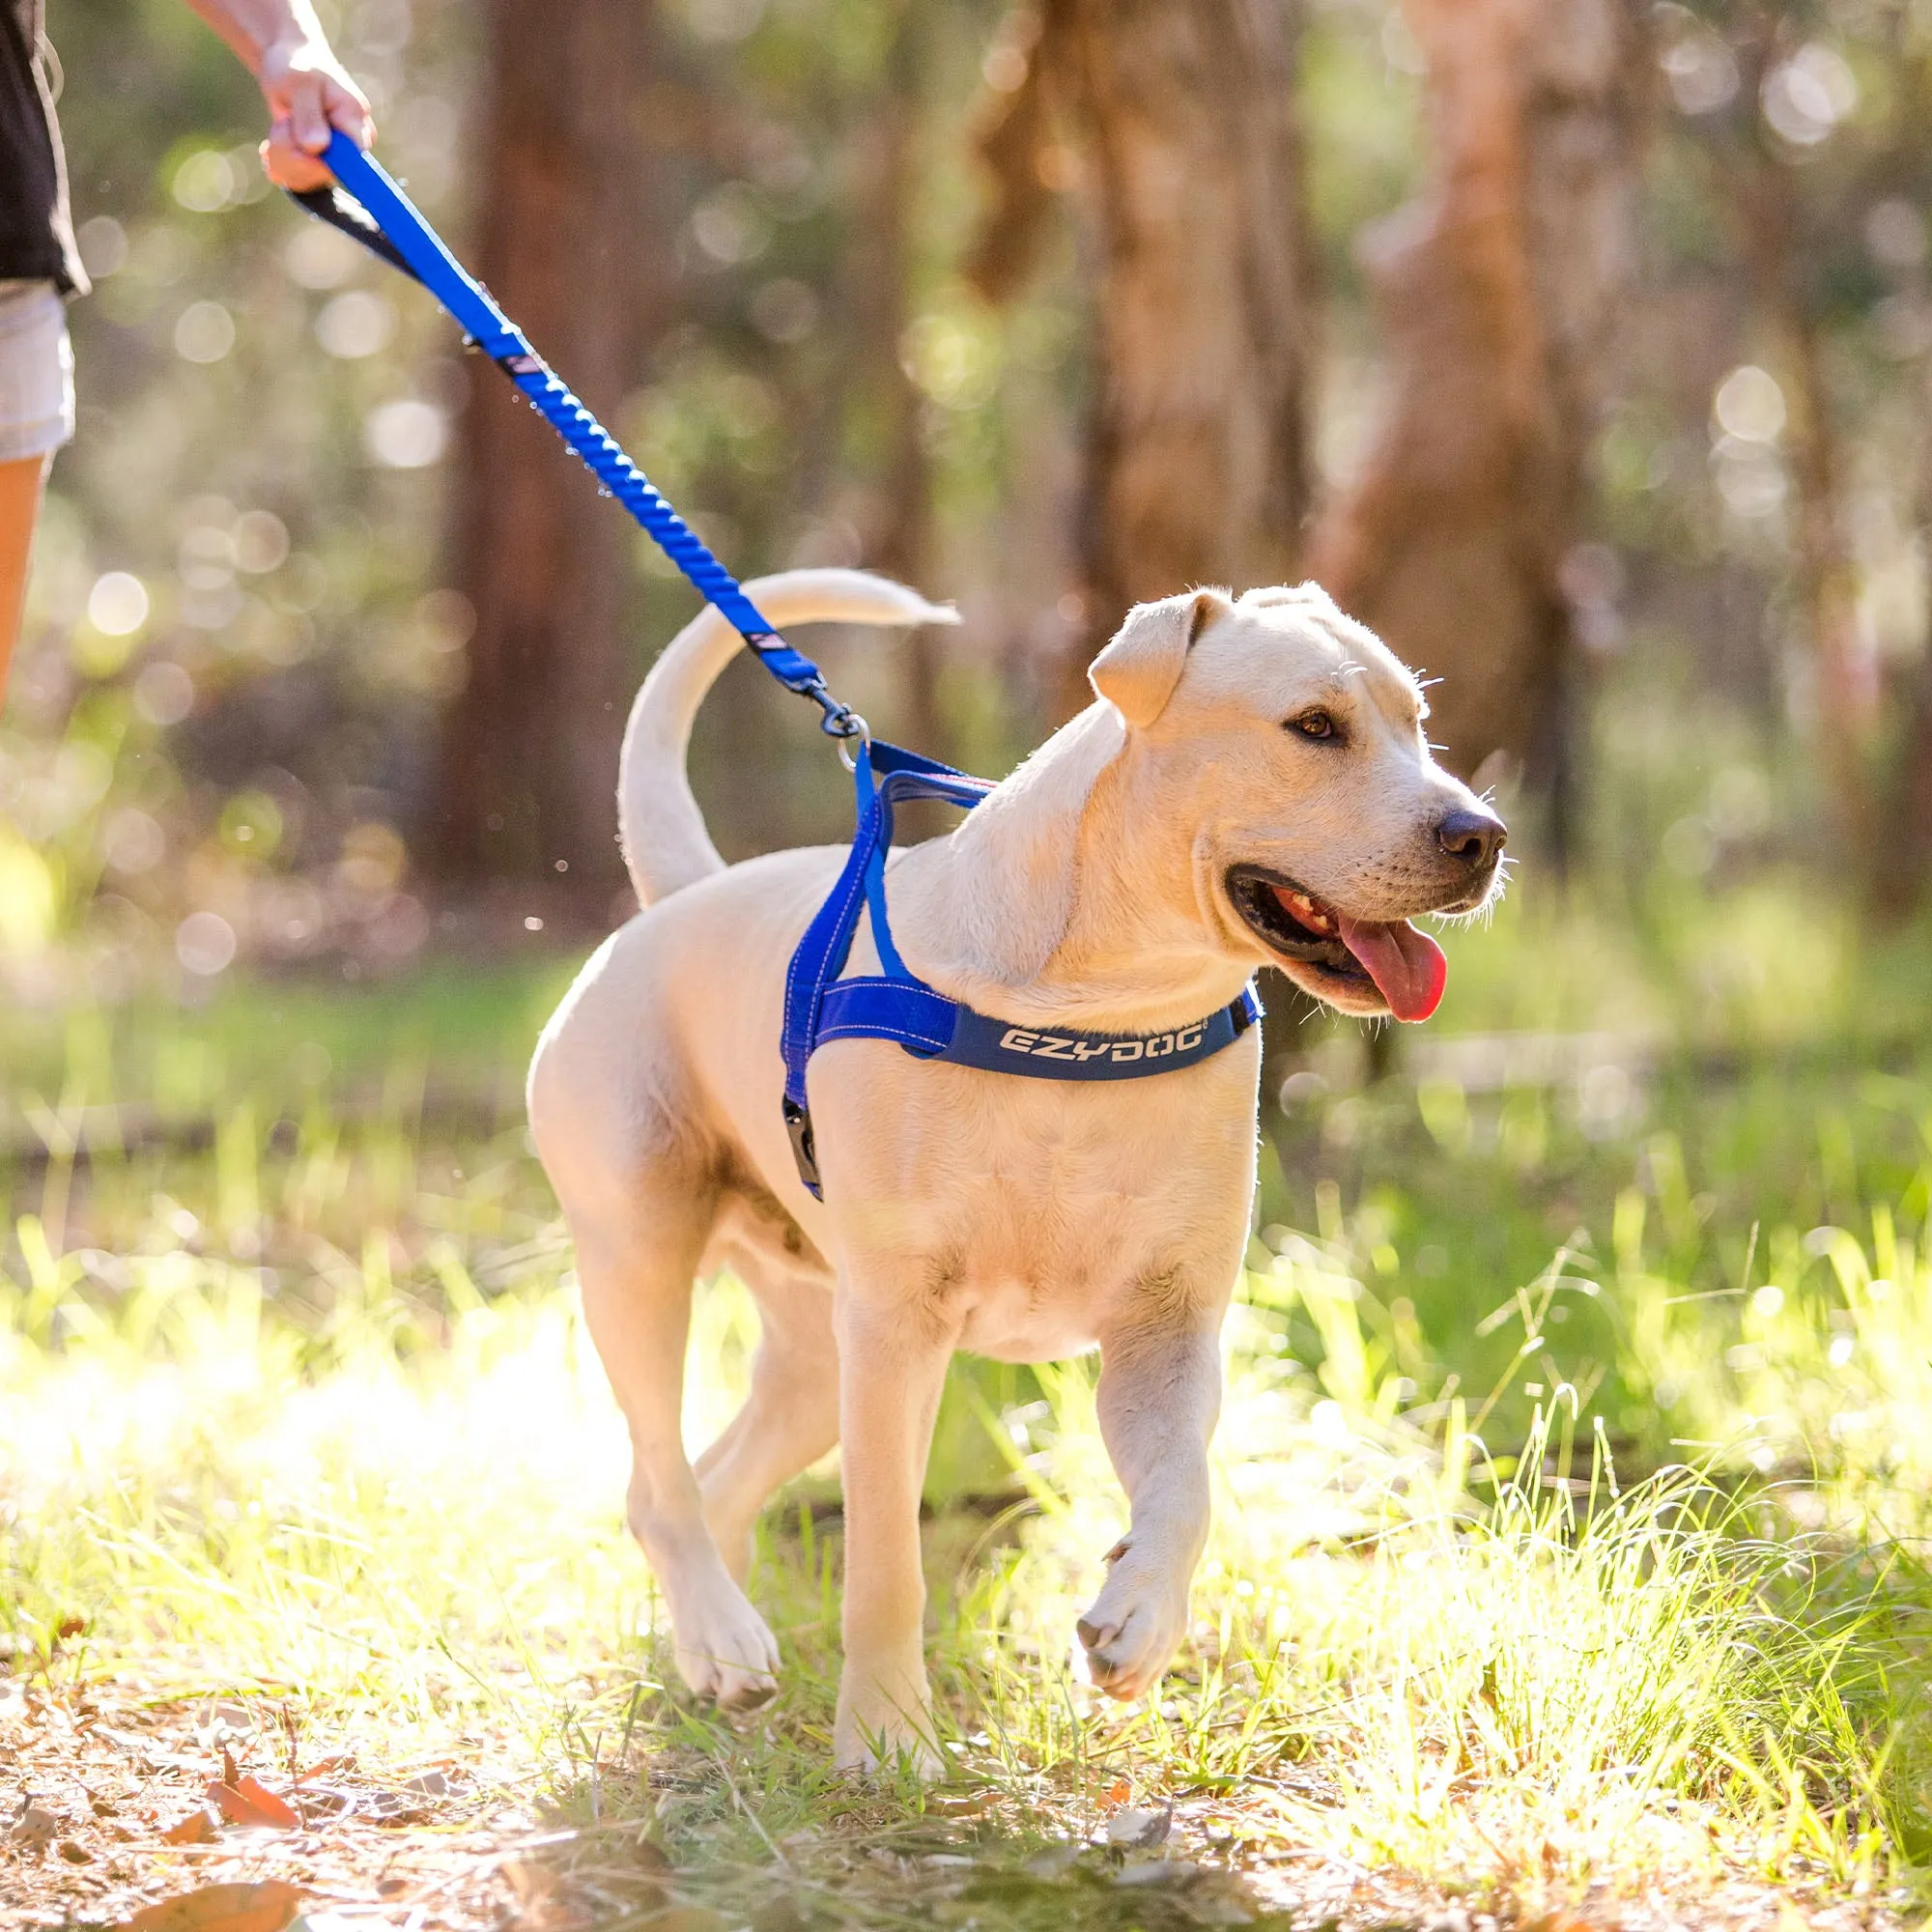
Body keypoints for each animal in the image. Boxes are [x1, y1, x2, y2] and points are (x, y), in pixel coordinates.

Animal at [533, 564, 1507, 1770]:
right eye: (1313, 726)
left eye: (1415, 721)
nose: (1482, 835)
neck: (1096, 1009)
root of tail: (679, 897)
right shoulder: (896, 1330)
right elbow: (885, 1561)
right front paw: (886, 1740)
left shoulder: (1165, 1326)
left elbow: (1185, 1488)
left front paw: (1136, 1621)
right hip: (640, 1256)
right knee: (656, 1472)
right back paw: (719, 1632)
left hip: (810, 1346)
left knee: (711, 1478)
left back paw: (709, 1646)